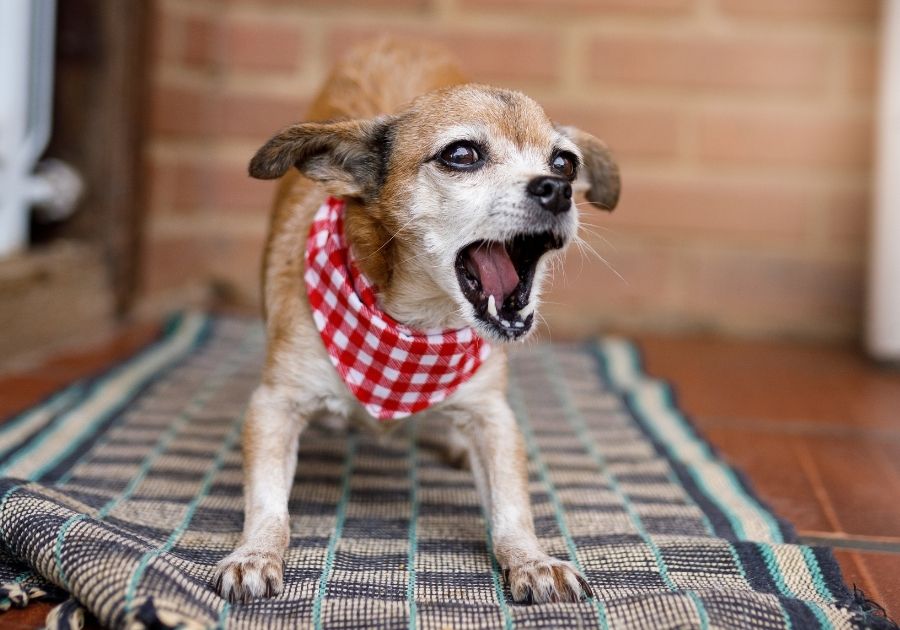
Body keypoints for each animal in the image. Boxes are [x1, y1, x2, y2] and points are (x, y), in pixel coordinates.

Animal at [213, 39, 620, 608]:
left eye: (564, 162)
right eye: (462, 155)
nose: (558, 189)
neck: (416, 325)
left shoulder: (492, 416)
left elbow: (512, 505)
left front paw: (532, 560)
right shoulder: (275, 404)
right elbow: (268, 502)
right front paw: (255, 553)